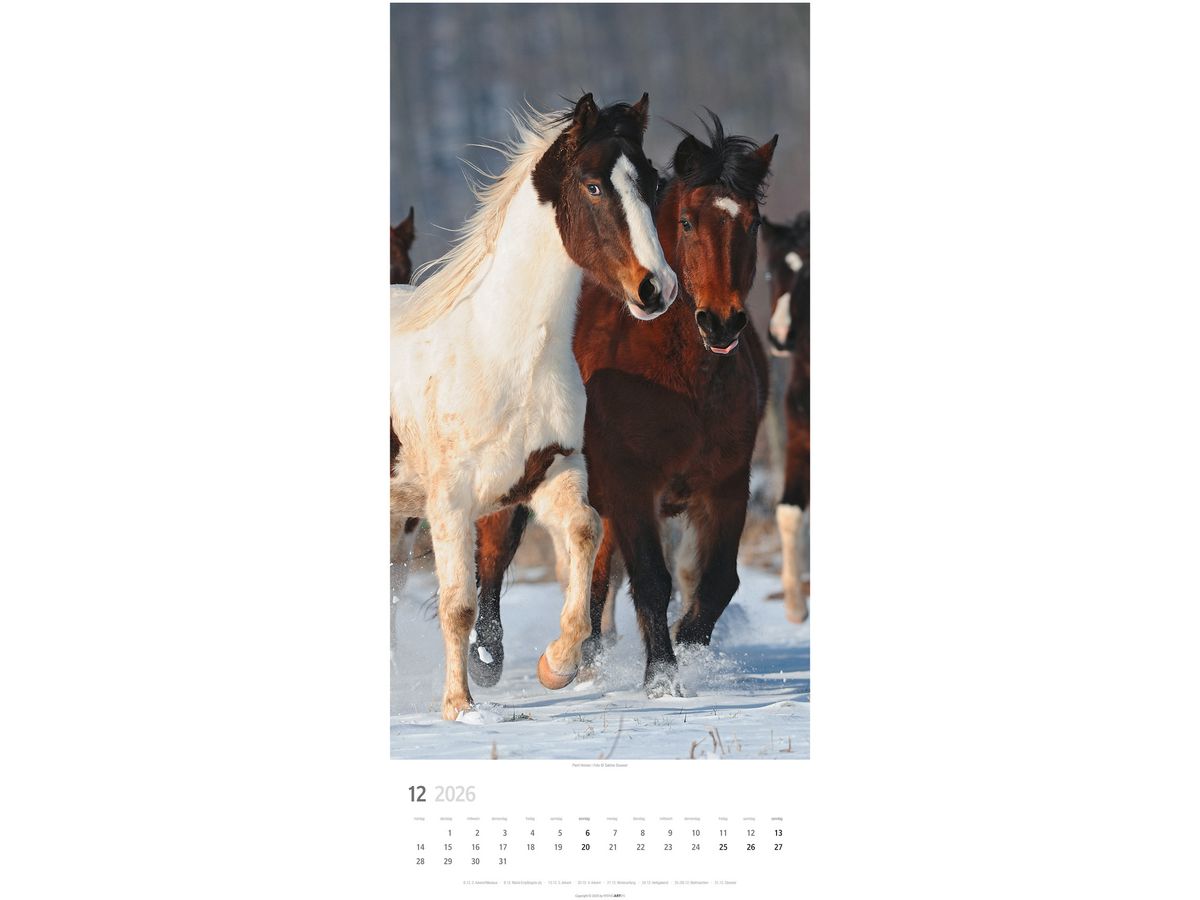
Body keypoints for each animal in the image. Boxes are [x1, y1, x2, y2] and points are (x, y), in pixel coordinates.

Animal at [390, 93, 678, 720]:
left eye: (652, 181)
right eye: (593, 186)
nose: (657, 289)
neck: (502, 355)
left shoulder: (552, 473)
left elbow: (586, 533)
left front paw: (558, 665)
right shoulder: (450, 502)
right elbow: (458, 604)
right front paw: (460, 707)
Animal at [470, 114, 776, 696]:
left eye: (752, 223)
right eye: (686, 221)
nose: (721, 323)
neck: (682, 381)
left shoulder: (726, 485)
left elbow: (718, 581)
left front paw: (689, 648)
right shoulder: (636, 486)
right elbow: (653, 581)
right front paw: (663, 679)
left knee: (596, 572)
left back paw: (581, 658)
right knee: (495, 554)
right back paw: (486, 658)